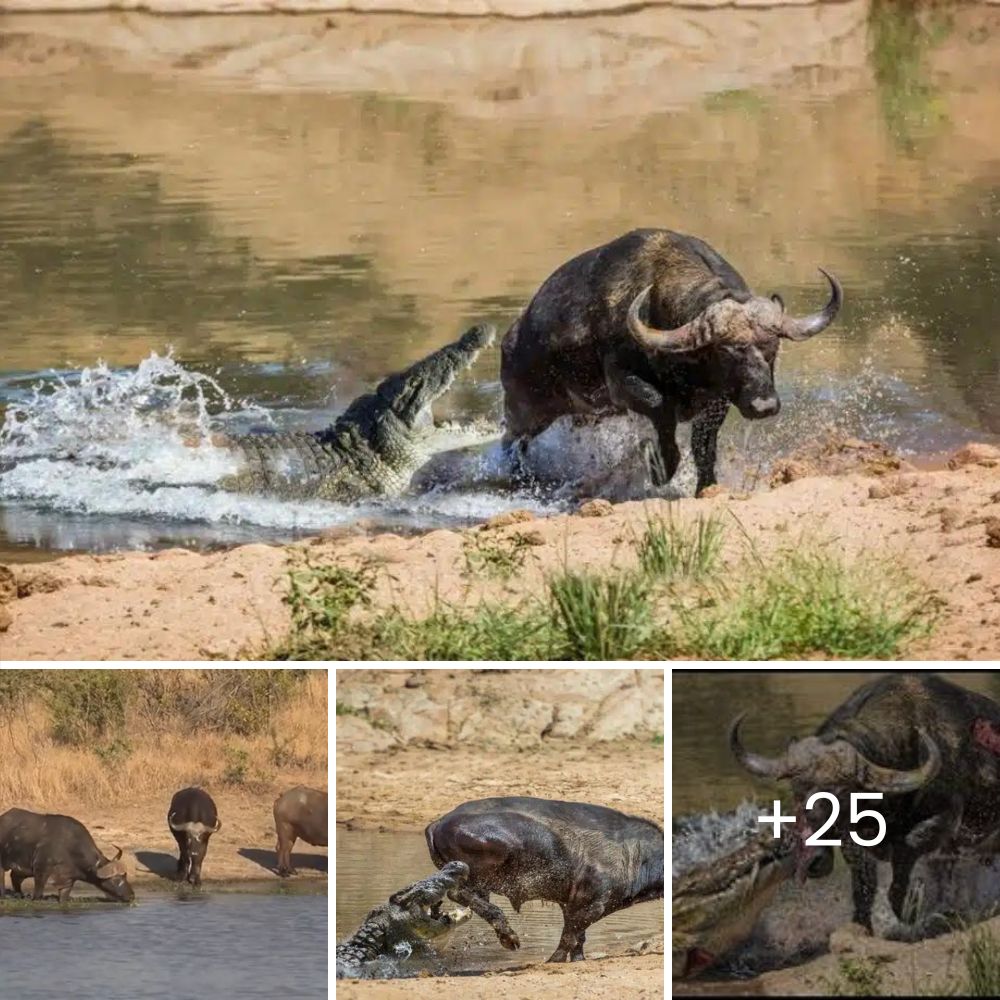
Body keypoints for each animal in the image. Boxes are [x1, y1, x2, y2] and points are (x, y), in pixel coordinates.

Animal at [0, 804, 135, 908]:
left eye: (125, 876)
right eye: (116, 879)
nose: (132, 896)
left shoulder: (67, 883)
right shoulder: (40, 873)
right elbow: (37, 895)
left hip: (23, 869)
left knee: (14, 877)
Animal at [424, 796, 664, 960]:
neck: (636, 853)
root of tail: (437, 824)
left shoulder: (573, 905)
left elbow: (578, 937)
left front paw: (578, 959)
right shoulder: (590, 904)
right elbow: (570, 936)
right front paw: (553, 960)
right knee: (458, 893)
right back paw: (510, 938)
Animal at [500, 227, 844, 492]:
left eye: (772, 348)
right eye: (727, 351)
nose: (764, 406)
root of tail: (513, 336)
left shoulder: (716, 400)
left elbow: (704, 448)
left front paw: (706, 486)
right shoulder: (621, 383)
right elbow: (659, 406)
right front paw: (658, 467)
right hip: (526, 410)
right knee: (510, 440)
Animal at [728, 676, 1000, 932]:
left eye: (840, 792)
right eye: (798, 788)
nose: (813, 858)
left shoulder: (946, 816)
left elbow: (908, 850)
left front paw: (911, 910)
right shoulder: (853, 839)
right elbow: (864, 885)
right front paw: (861, 925)